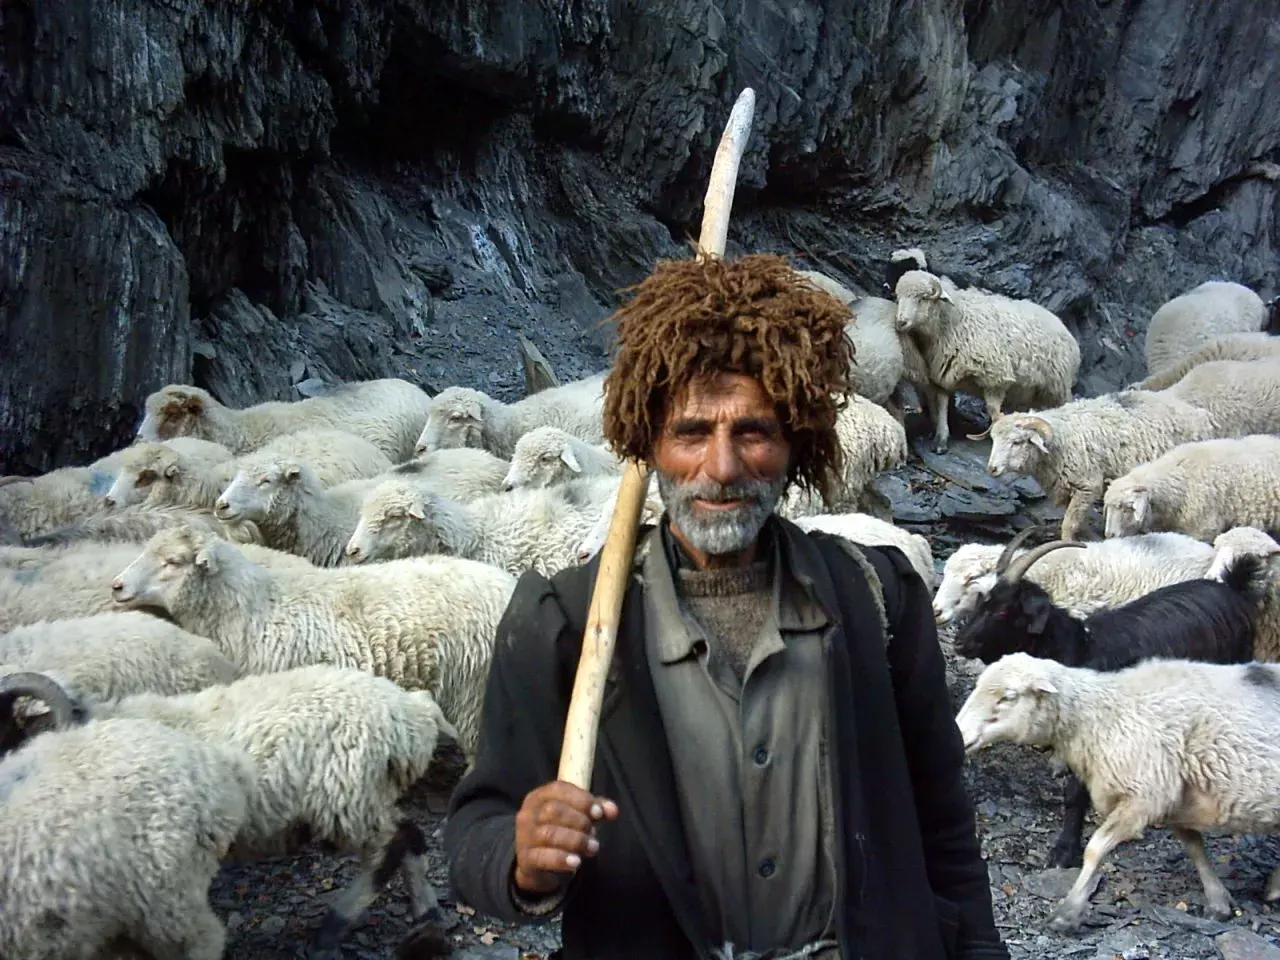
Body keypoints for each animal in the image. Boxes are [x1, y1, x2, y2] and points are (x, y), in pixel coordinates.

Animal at [894, 269, 1081, 452]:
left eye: (923, 298)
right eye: (899, 297)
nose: (900, 322)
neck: (953, 320)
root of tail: (1062, 325)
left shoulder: (995, 377)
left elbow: (993, 410)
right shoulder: (941, 374)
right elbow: (941, 407)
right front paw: (941, 439)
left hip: (1057, 387)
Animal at [956, 653, 1280, 932]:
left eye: (1008, 697)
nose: (959, 734)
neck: (1100, 714)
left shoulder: (1143, 795)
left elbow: (1095, 848)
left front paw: (1067, 912)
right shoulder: (1173, 796)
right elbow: (1193, 846)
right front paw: (1218, 900)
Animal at [986, 389, 1216, 540]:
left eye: (1017, 442)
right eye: (993, 439)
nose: (991, 469)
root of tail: (1199, 414)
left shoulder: (1087, 486)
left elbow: (1069, 524)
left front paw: (1067, 544)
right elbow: (1079, 522)